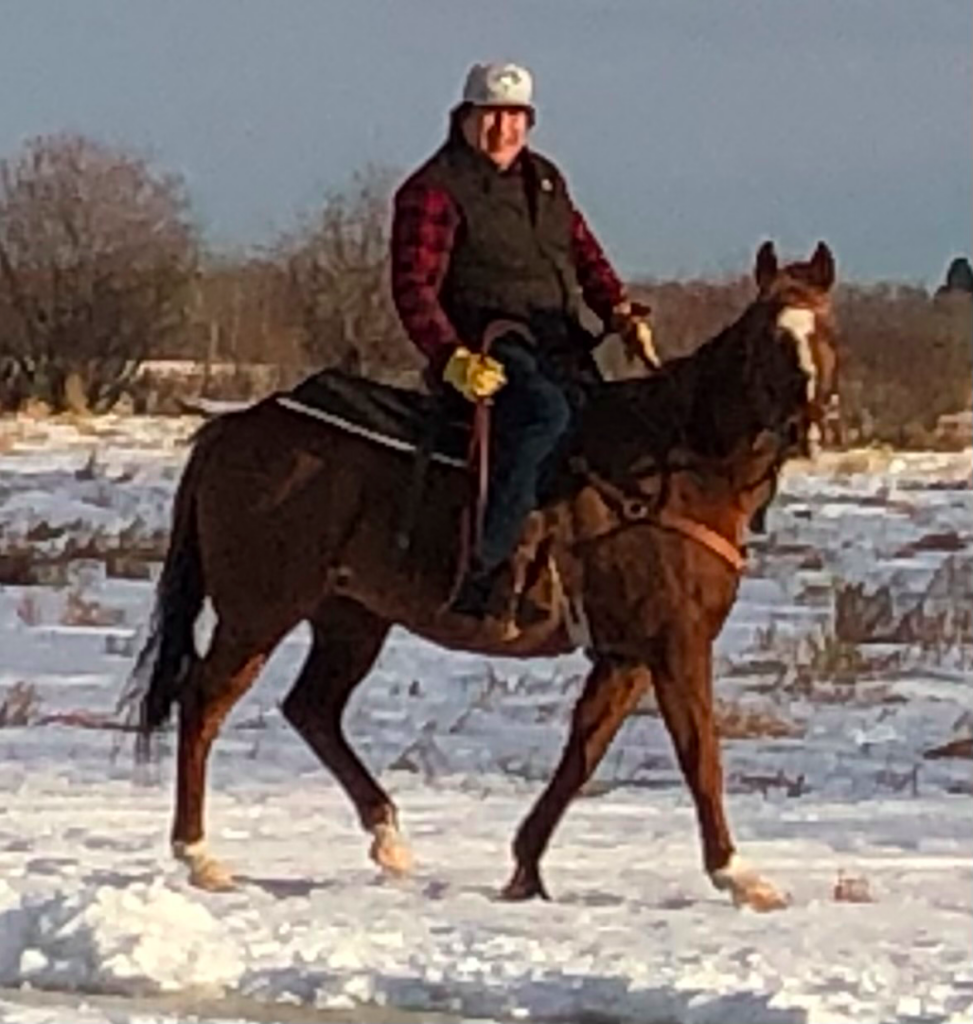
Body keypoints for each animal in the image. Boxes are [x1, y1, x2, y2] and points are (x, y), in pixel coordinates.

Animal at [131, 241, 839, 913]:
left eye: (826, 329)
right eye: (767, 335)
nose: (806, 423)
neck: (675, 467)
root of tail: (234, 426)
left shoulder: (627, 657)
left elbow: (583, 753)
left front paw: (526, 870)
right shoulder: (676, 645)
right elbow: (700, 757)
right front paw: (739, 875)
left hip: (352, 617)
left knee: (312, 708)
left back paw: (388, 838)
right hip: (260, 610)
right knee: (204, 700)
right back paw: (199, 854)